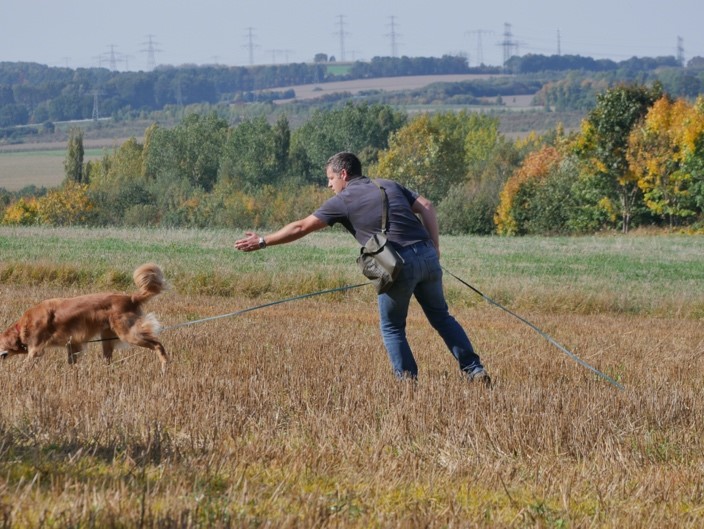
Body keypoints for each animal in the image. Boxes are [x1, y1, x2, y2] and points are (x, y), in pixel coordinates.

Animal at [0, 262, 169, 370]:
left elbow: (26, 364)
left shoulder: (36, 349)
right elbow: (72, 361)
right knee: (108, 359)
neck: (23, 326)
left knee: (157, 344)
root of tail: (130, 298)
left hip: (129, 333)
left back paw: (165, 365)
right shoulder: (73, 343)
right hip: (107, 338)